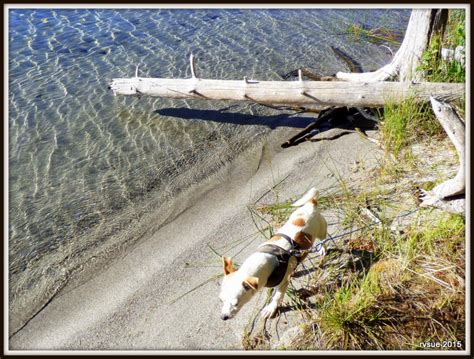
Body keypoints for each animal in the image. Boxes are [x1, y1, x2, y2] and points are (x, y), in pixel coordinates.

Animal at [218, 188, 326, 320]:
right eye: (221, 300)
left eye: (236, 303)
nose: (223, 317)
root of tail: (311, 204)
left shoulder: (282, 284)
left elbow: (277, 296)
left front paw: (271, 309)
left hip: (322, 230)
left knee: (323, 239)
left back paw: (322, 248)